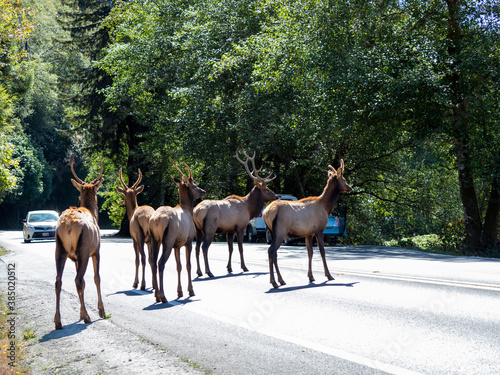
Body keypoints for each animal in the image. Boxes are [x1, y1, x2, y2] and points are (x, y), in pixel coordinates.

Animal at [54, 156, 105, 328]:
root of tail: (69, 225)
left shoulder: (74, 258)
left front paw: (81, 313)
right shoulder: (96, 250)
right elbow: (97, 277)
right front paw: (101, 311)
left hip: (59, 249)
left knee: (59, 281)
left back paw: (58, 321)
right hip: (84, 249)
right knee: (79, 279)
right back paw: (88, 317)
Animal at [148, 163, 205, 304]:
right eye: (194, 185)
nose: (203, 191)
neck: (188, 209)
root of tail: (156, 220)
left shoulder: (177, 245)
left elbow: (178, 266)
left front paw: (179, 291)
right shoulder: (188, 240)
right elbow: (188, 265)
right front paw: (191, 290)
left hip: (154, 239)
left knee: (153, 261)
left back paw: (156, 294)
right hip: (167, 240)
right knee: (160, 263)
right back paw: (163, 296)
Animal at [262, 160, 352, 290]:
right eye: (344, 179)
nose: (350, 187)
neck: (326, 207)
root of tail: (266, 212)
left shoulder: (309, 233)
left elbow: (310, 253)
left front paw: (311, 276)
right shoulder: (319, 230)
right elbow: (322, 251)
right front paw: (329, 275)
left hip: (271, 231)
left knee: (274, 253)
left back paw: (281, 280)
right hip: (280, 230)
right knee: (271, 250)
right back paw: (274, 282)